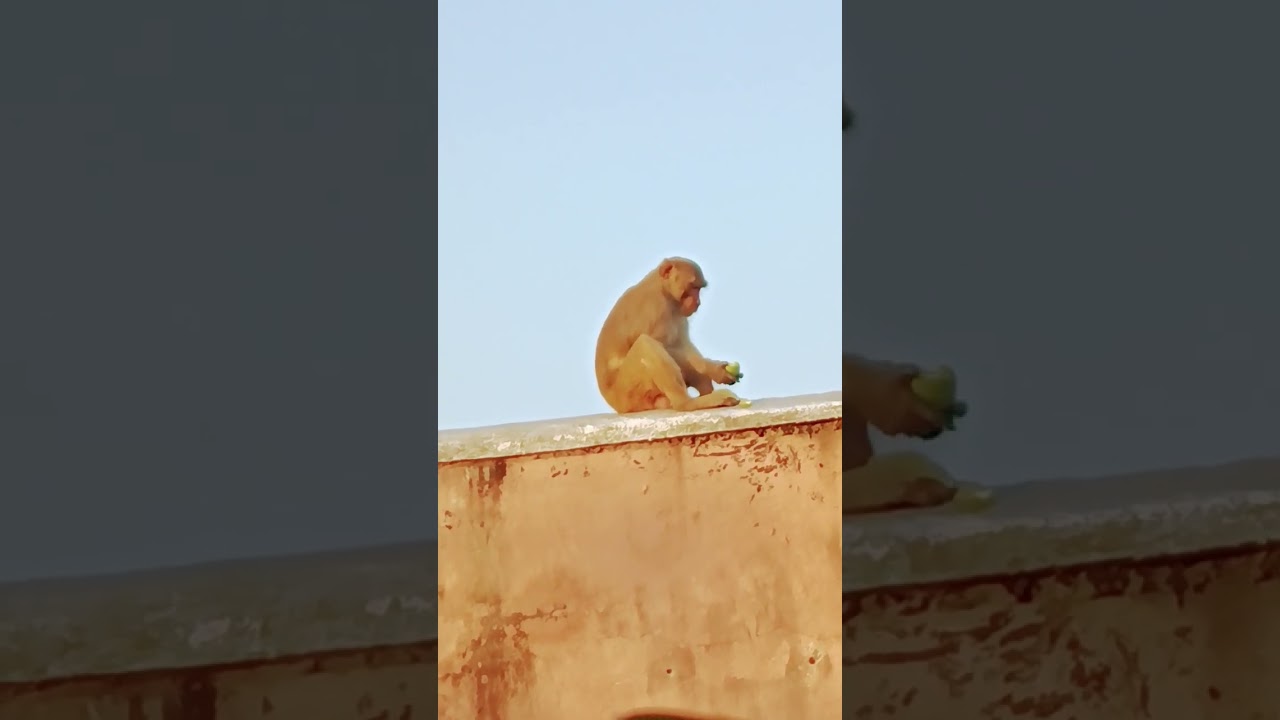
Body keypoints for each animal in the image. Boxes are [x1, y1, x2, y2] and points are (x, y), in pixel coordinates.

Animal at [595, 257, 742, 414]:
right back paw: (687, 403)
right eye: (693, 287)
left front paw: (716, 370)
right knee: (645, 344)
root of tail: (616, 405)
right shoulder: (656, 309)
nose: (697, 302)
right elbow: (666, 345)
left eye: (699, 288)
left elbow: (683, 346)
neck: (663, 289)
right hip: (629, 394)